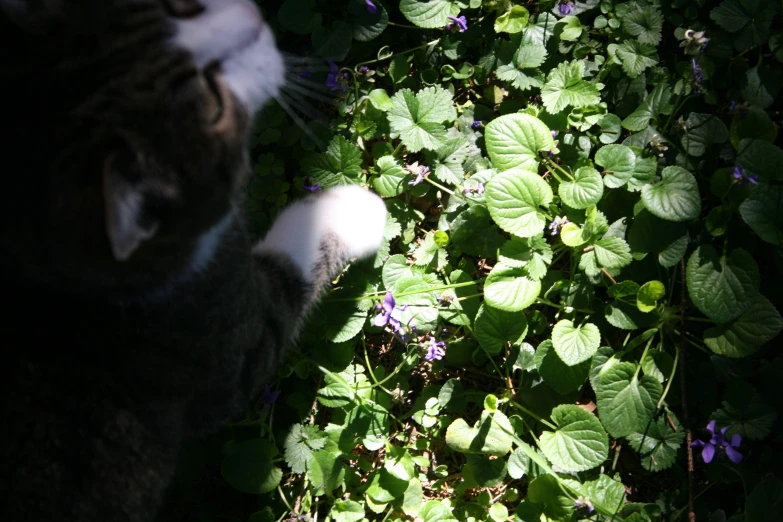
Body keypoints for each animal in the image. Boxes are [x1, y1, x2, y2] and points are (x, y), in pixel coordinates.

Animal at [0, 2, 388, 516]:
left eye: (172, 10)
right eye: (214, 102)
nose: (255, 19)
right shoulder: (233, 345)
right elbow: (297, 258)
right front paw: (359, 210)